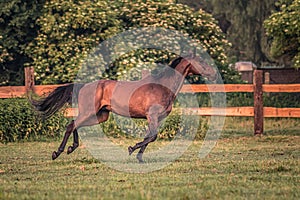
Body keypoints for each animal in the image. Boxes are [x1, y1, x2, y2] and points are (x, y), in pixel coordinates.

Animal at [30, 54, 217, 162]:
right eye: (201, 61)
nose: (214, 74)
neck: (162, 87)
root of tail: (83, 86)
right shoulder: (152, 116)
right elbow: (152, 136)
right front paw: (131, 149)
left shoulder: (157, 118)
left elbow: (150, 136)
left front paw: (139, 158)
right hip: (90, 112)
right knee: (71, 125)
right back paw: (58, 152)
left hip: (100, 116)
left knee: (75, 124)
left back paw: (71, 148)